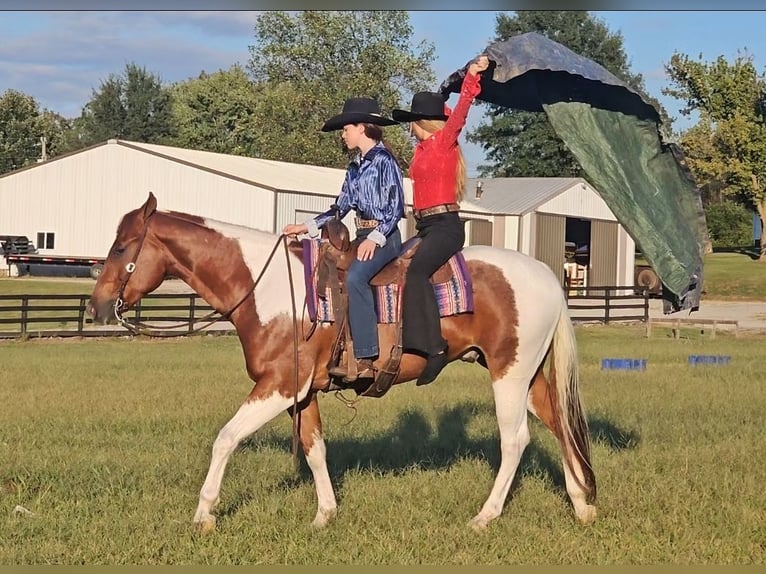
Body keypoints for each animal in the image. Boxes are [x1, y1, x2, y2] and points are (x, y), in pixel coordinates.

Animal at [87, 192, 596, 532]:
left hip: (509, 374)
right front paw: (324, 514)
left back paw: (485, 516)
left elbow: (225, 438)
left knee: (515, 440)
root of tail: (548, 275)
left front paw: (204, 514)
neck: (271, 288)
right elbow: (315, 450)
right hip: (529, 376)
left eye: (120, 247)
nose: (96, 306)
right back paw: (582, 504)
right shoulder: (302, 393)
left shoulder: (277, 386)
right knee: (561, 425)